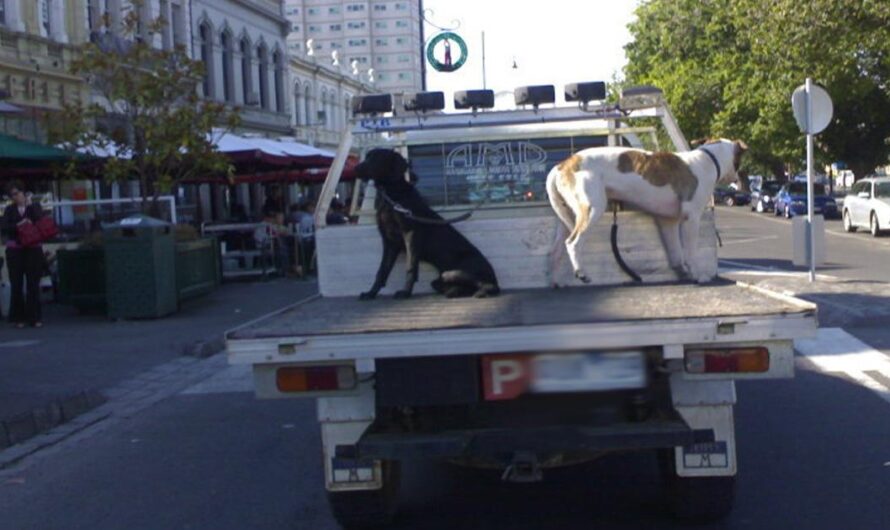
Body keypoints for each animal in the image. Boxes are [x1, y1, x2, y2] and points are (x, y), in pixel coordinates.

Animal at [356, 148, 500, 300]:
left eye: (377, 158)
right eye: (367, 156)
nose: (356, 169)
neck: (389, 195)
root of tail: (493, 276)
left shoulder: (410, 233)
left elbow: (411, 266)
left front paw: (405, 292)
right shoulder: (389, 241)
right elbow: (381, 271)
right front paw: (371, 293)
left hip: (454, 273)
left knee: (488, 285)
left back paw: (483, 290)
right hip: (442, 278)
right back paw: (455, 291)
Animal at [548, 138, 744, 282]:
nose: (737, 180)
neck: (709, 158)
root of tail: (563, 164)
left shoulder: (668, 222)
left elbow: (676, 253)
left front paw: (682, 272)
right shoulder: (691, 218)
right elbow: (690, 252)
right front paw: (697, 275)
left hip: (568, 216)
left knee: (557, 248)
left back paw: (556, 281)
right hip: (592, 209)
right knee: (573, 242)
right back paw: (581, 272)